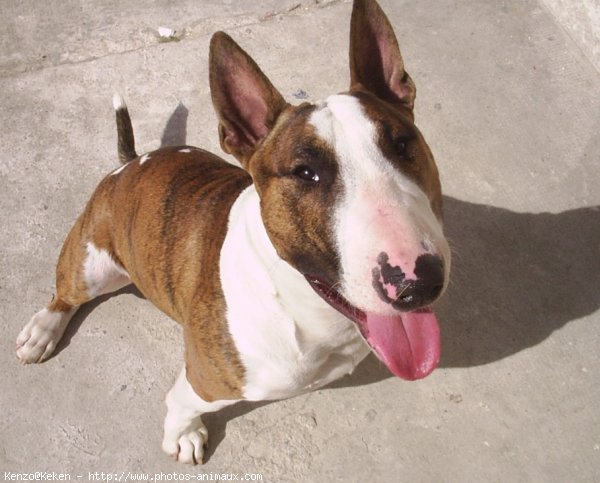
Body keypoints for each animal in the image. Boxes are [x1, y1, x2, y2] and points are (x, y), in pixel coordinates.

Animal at [15, 0, 450, 466]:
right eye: (305, 172)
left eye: (403, 144)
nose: (416, 282)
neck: (301, 304)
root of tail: (130, 162)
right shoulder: (203, 379)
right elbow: (179, 403)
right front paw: (183, 435)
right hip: (94, 264)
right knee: (66, 293)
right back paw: (43, 331)